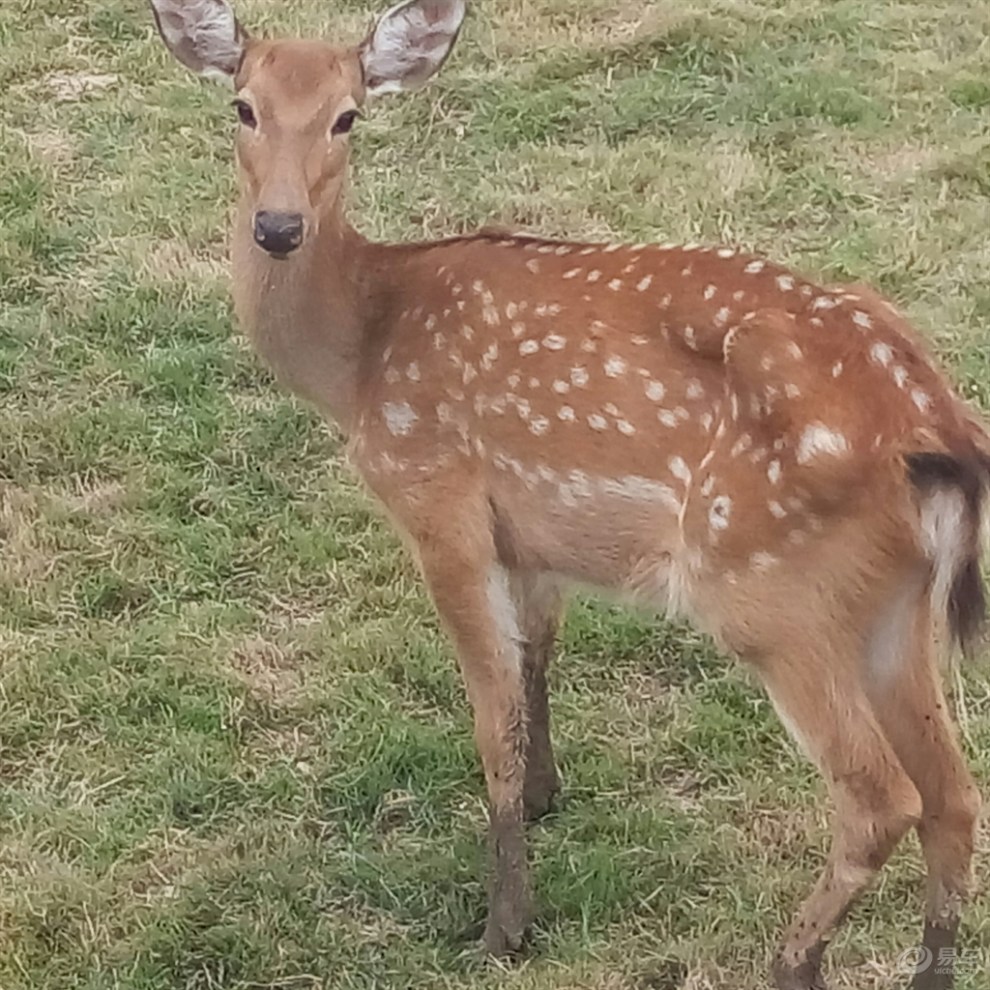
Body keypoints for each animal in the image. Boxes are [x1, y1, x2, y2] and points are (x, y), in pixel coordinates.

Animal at [149, 1, 990, 990]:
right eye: (243, 106)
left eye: (347, 116)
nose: (278, 225)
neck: (359, 359)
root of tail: (935, 425)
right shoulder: (531, 537)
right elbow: (538, 658)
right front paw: (550, 795)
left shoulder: (439, 501)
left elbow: (492, 716)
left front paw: (504, 926)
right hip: (892, 603)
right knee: (955, 792)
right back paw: (926, 969)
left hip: (763, 585)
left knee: (880, 797)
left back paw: (792, 960)